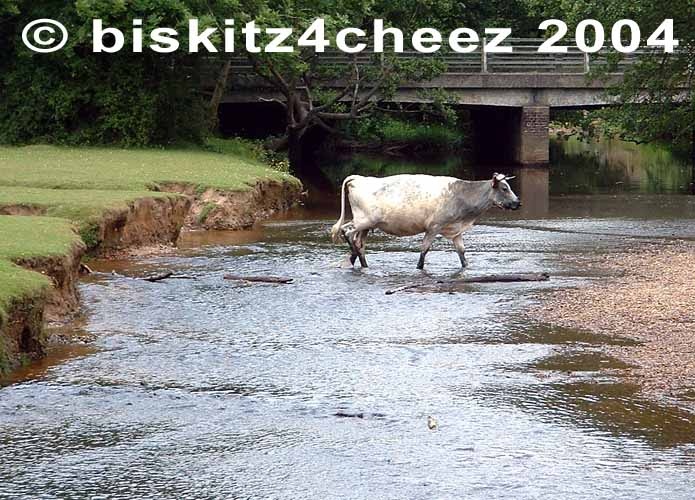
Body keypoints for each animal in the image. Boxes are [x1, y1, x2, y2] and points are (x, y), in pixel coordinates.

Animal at [332, 175, 520, 272]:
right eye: (504, 188)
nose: (518, 203)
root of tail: (359, 178)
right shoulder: (434, 227)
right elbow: (424, 250)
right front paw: (419, 267)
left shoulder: (456, 230)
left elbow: (462, 253)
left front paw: (466, 267)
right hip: (364, 221)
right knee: (347, 232)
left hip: (366, 225)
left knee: (358, 242)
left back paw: (359, 262)